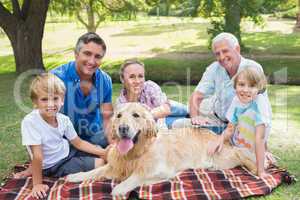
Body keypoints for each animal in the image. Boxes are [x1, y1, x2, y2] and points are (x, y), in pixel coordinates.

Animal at [67, 103, 256, 195]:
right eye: (119, 116)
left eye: (136, 115)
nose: (122, 128)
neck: (135, 153)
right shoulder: (116, 165)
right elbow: (95, 171)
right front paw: (76, 176)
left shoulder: (162, 171)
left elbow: (137, 176)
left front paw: (119, 188)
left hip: (223, 158)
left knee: (242, 153)